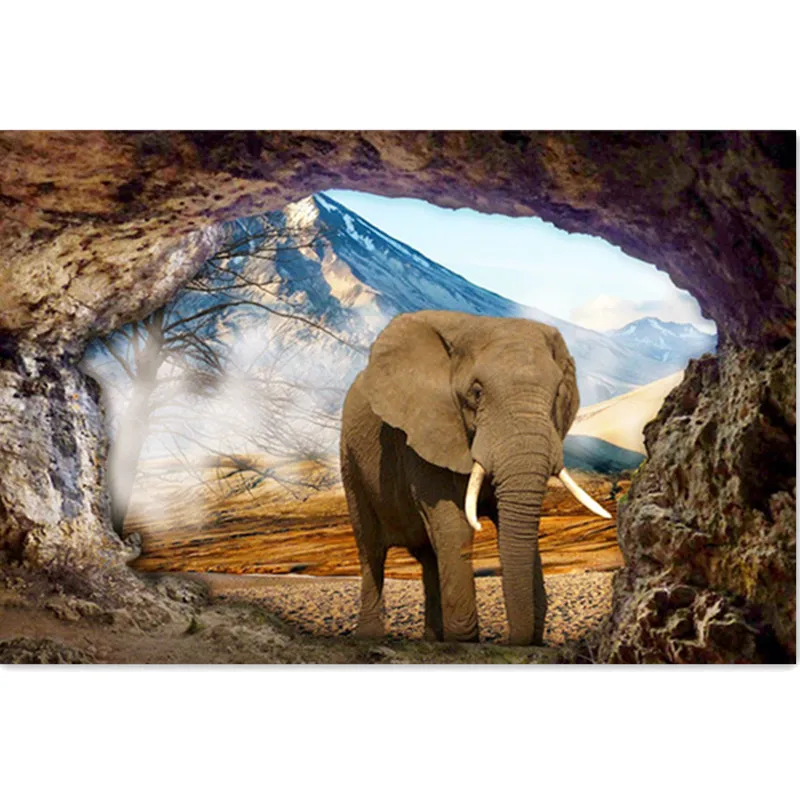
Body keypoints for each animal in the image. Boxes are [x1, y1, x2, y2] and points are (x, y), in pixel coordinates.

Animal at [339, 310, 610, 646]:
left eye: (557, 393)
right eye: (476, 393)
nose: (512, 641)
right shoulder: (424, 431)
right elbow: (454, 527)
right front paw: (465, 641)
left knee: (429, 557)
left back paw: (433, 640)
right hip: (350, 459)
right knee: (371, 550)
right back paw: (371, 637)